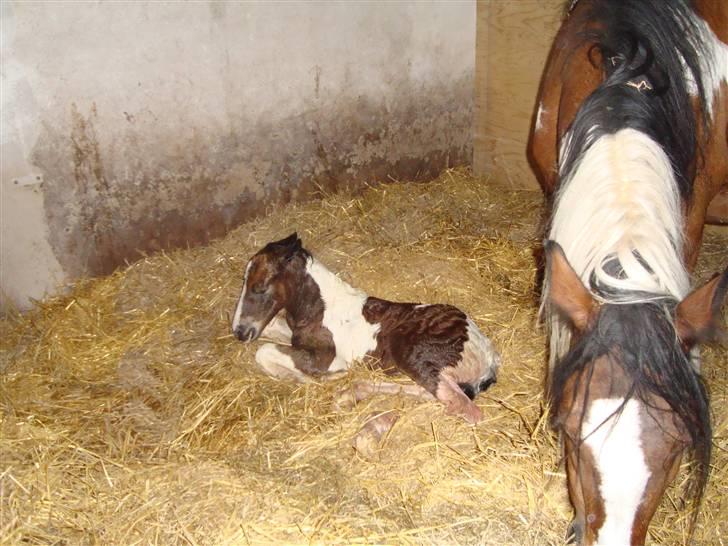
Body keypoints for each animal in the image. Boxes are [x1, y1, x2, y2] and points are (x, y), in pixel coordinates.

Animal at [232, 233, 500, 434]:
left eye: (260, 287)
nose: (239, 332)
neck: (320, 308)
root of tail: (489, 357)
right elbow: (270, 332)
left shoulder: (326, 359)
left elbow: (264, 351)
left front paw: (309, 379)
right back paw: (350, 395)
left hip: (409, 352)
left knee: (466, 407)